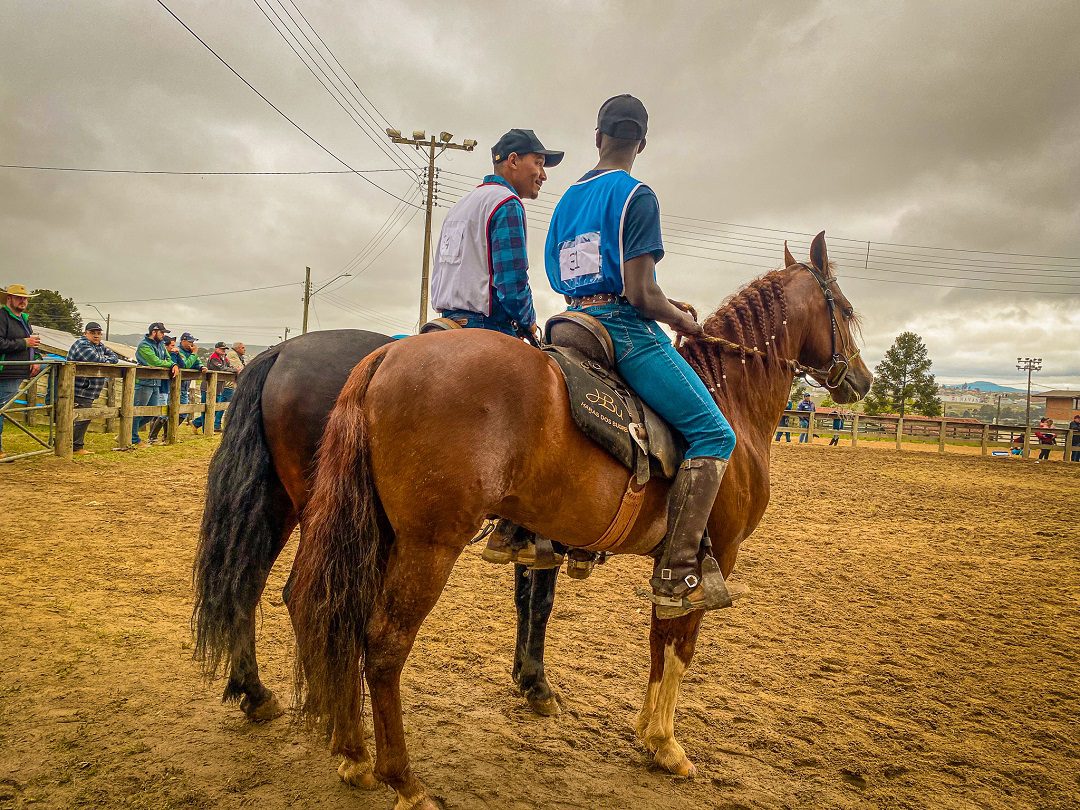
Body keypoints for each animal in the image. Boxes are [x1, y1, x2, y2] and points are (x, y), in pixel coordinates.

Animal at [289, 231, 876, 807]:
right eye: (846, 309)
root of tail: (387, 355)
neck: (729, 397)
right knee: (384, 647)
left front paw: (647, 734)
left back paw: (354, 754)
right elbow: (679, 643)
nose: (862, 379)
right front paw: (666, 744)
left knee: (338, 618)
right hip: (426, 545)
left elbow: (658, 640)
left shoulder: (669, 564)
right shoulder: (713, 558)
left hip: (378, 537)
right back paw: (404, 781)